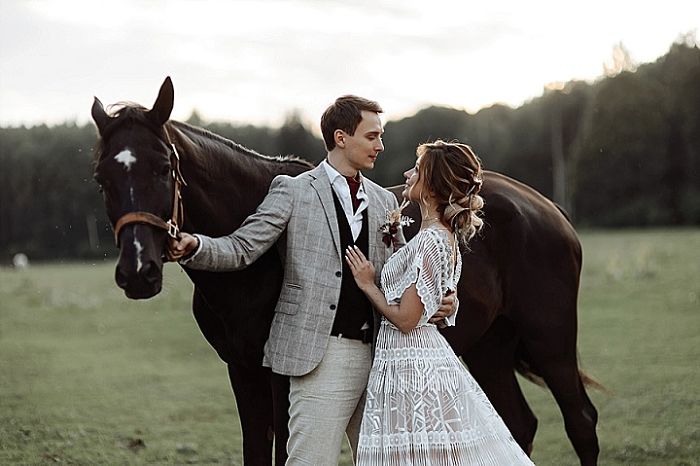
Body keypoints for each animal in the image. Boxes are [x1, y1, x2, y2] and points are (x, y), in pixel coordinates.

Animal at [90, 77, 600, 466]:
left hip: (550, 340)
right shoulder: (243, 371)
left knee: (581, 423)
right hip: (490, 347)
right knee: (520, 424)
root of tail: (546, 208)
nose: (138, 272)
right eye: (101, 177)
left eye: (163, 167)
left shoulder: (279, 378)